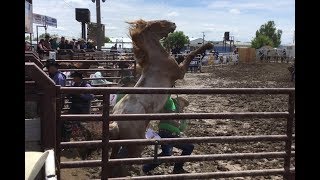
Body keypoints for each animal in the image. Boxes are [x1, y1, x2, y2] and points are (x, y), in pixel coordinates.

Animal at [110, 19, 212, 176]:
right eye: (157, 23)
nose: (173, 24)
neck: (157, 60)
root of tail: (116, 122)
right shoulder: (180, 72)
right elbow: (190, 55)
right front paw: (207, 46)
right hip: (135, 145)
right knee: (123, 164)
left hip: (118, 144)